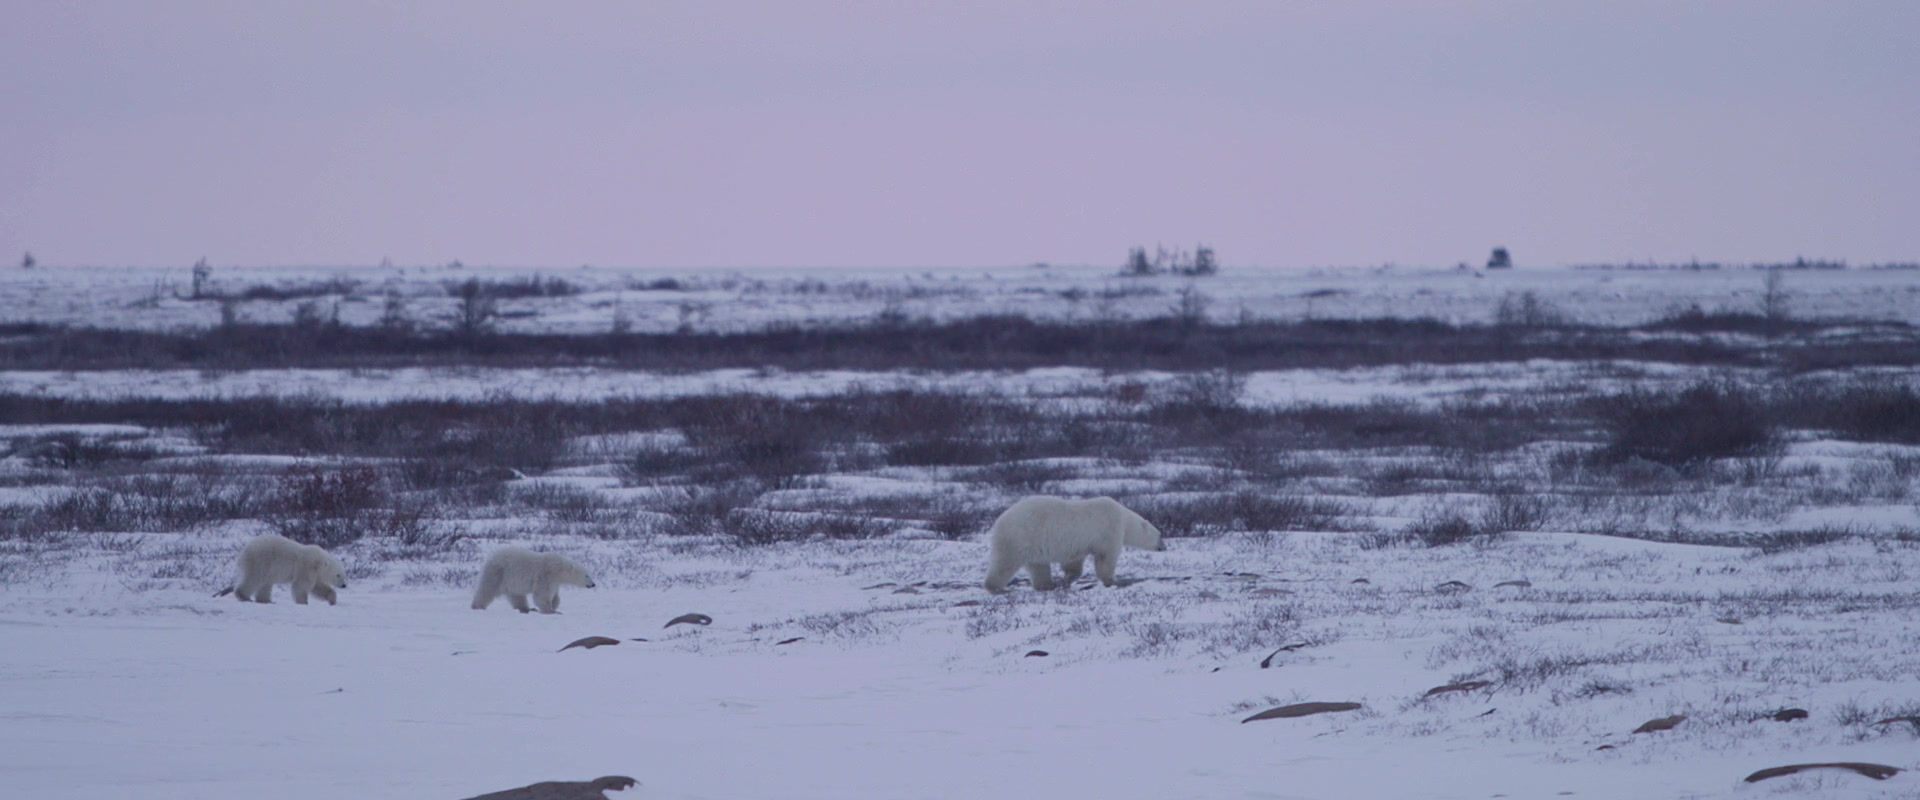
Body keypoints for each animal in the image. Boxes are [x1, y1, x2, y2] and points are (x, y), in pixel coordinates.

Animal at [217, 533, 347, 605]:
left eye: (343, 574)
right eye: (338, 575)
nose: (344, 585)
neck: (319, 560)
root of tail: (243, 552)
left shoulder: (315, 573)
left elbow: (318, 587)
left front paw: (332, 600)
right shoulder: (307, 566)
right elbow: (301, 585)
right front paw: (303, 602)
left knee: (265, 584)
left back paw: (266, 601)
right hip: (260, 561)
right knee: (255, 579)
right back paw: (244, 596)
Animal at [983, 495, 1165, 593]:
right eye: (1160, 535)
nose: (1164, 546)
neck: (1125, 519)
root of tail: (998, 522)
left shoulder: (1079, 544)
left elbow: (1074, 563)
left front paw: (1067, 579)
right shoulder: (1108, 531)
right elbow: (1105, 558)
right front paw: (1112, 581)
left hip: (1032, 545)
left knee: (1038, 566)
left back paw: (1047, 585)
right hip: (1019, 537)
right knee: (1005, 563)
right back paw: (995, 587)